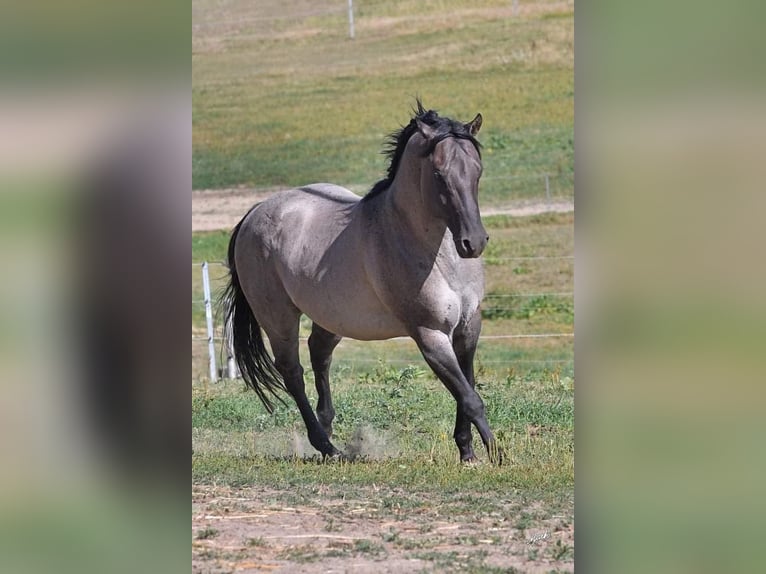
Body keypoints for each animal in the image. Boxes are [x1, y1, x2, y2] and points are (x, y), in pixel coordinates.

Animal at [222, 101, 502, 464]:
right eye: (439, 174)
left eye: (477, 171)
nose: (473, 242)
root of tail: (254, 212)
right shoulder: (429, 335)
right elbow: (470, 399)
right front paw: (497, 455)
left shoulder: (468, 328)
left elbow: (466, 391)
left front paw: (467, 452)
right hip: (278, 318)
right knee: (292, 371)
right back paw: (326, 446)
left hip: (332, 316)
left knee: (319, 354)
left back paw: (327, 427)